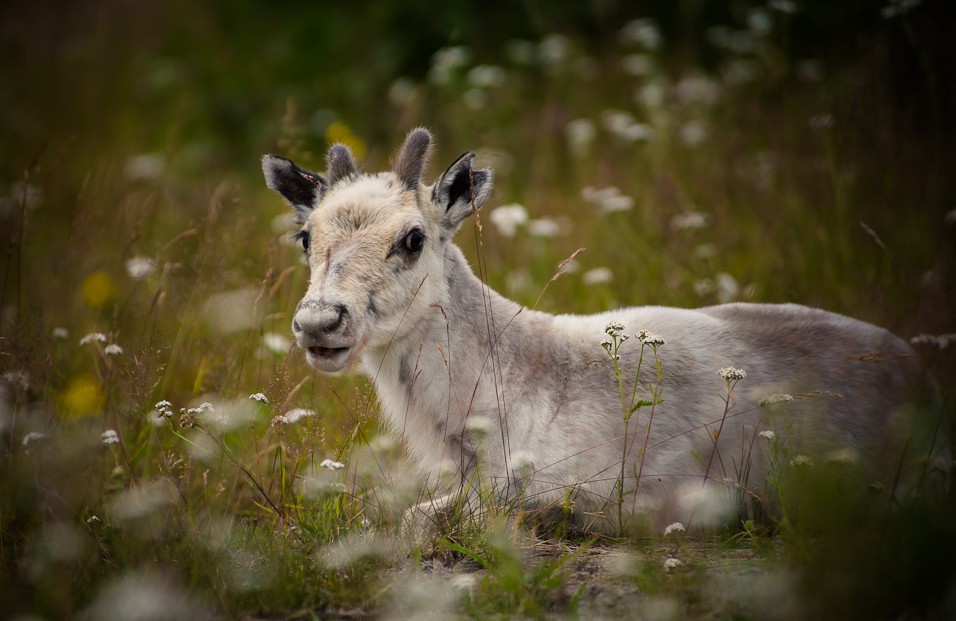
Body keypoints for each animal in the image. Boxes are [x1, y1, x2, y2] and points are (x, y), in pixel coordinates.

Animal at [262, 127, 940, 532]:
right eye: (306, 236)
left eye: (412, 238)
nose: (319, 321)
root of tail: (924, 379)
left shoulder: (564, 488)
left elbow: (416, 521)